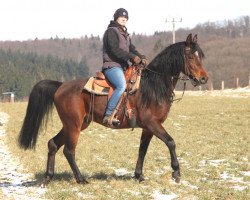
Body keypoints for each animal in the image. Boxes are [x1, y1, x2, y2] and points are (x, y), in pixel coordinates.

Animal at [18, 33, 208, 185]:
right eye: (191, 57)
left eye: (201, 56)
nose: (204, 79)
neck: (153, 86)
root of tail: (60, 86)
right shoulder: (152, 123)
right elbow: (171, 142)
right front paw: (176, 173)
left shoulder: (148, 128)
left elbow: (142, 150)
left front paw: (139, 175)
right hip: (74, 125)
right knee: (68, 151)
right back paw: (81, 179)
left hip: (76, 124)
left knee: (53, 144)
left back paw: (48, 177)